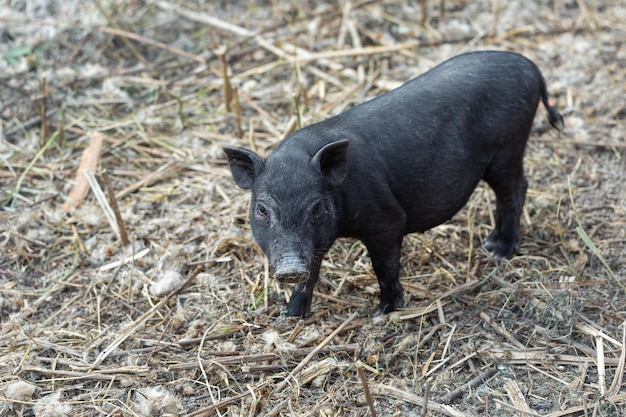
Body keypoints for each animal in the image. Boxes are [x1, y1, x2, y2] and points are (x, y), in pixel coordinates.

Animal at [223, 50, 560, 316]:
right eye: (262, 210)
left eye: (316, 207)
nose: (290, 268)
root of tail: (532, 67)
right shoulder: (315, 243)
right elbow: (313, 272)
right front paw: (290, 315)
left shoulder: (387, 220)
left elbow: (384, 267)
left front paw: (383, 312)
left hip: (508, 148)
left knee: (515, 190)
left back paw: (498, 251)